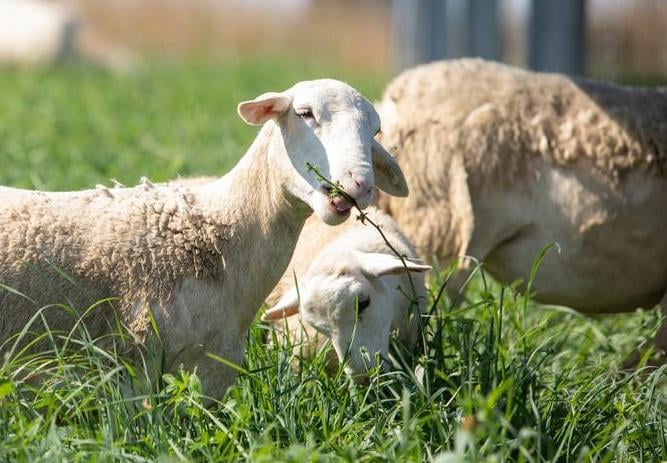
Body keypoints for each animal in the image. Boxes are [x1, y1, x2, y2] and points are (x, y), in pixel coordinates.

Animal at [0, 78, 409, 400]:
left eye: (374, 131)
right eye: (305, 114)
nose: (360, 184)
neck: (222, 229)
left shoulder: (218, 364)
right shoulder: (133, 359)